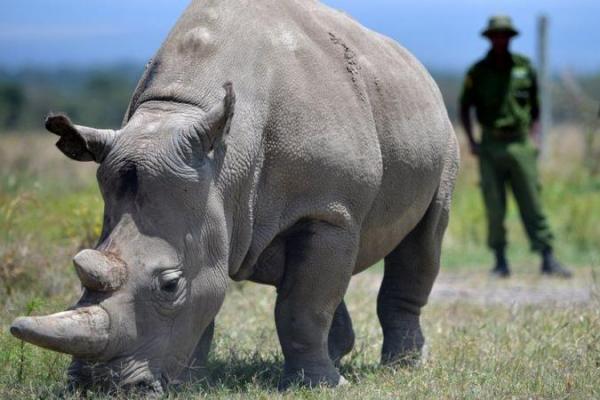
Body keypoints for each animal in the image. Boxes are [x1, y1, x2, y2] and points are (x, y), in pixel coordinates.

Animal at [10, 0, 460, 394]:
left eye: (170, 285)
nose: (99, 386)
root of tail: (417, 67)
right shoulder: (212, 197)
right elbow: (225, 292)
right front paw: (190, 383)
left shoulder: (328, 210)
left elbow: (303, 306)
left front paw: (321, 386)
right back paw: (340, 353)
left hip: (442, 137)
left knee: (424, 238)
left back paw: (404, 366)